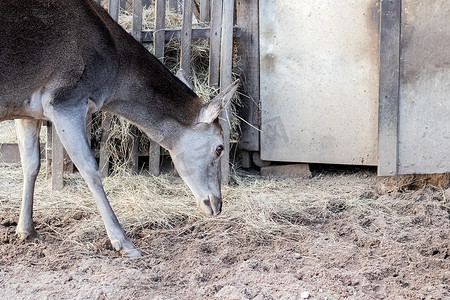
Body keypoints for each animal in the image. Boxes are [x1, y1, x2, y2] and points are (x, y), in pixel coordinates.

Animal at [0, 0, 239, 258]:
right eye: (220, 147)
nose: (217, 204)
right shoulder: (65, 99)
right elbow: (90, 169)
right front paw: (123, 242)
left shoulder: (27, 109)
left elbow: (31, 164)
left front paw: (27, 231)